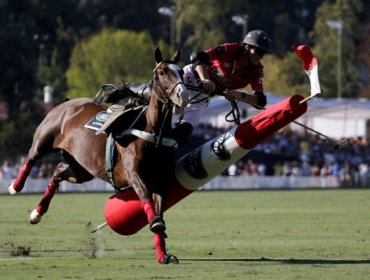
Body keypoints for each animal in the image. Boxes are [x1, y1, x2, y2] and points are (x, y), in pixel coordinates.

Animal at [8, 47, 188, 264]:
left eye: (181, 71)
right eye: (162, 72)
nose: (183, 95)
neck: (154, 133)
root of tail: (66, 104)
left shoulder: (161, 181)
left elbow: (160, 213)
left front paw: (163, 255)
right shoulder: (135, 175)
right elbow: (147, 203)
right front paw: (156, 226)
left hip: (81, 169)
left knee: (58, 171)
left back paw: (37, 213)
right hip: (44, 139)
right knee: (31, 158)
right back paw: (15, 187)